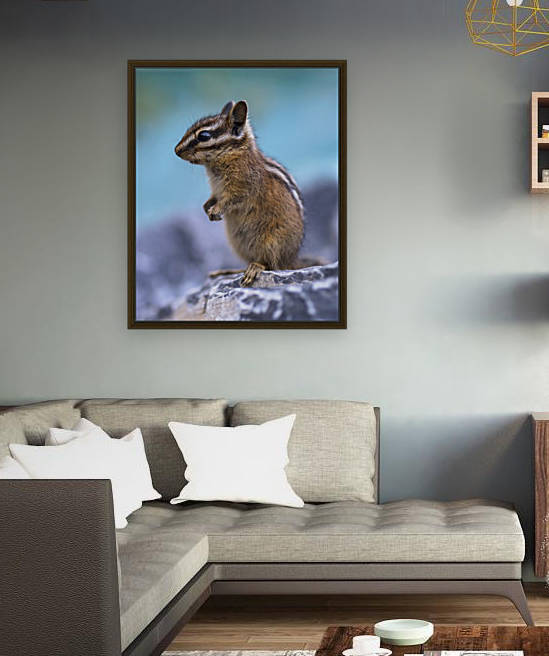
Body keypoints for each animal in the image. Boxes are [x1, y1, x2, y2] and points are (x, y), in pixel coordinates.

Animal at [175, 100, 304, 287]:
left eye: (204, 136)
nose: (176, 150)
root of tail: (292, 259)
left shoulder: (242, 186)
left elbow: (231, 199)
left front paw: (215, 210)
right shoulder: (217, 190)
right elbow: (213, 198)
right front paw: (207, 208)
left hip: (271, 242)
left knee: (271, 264)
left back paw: (254, 268)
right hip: (238, 244)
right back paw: (231, 270)